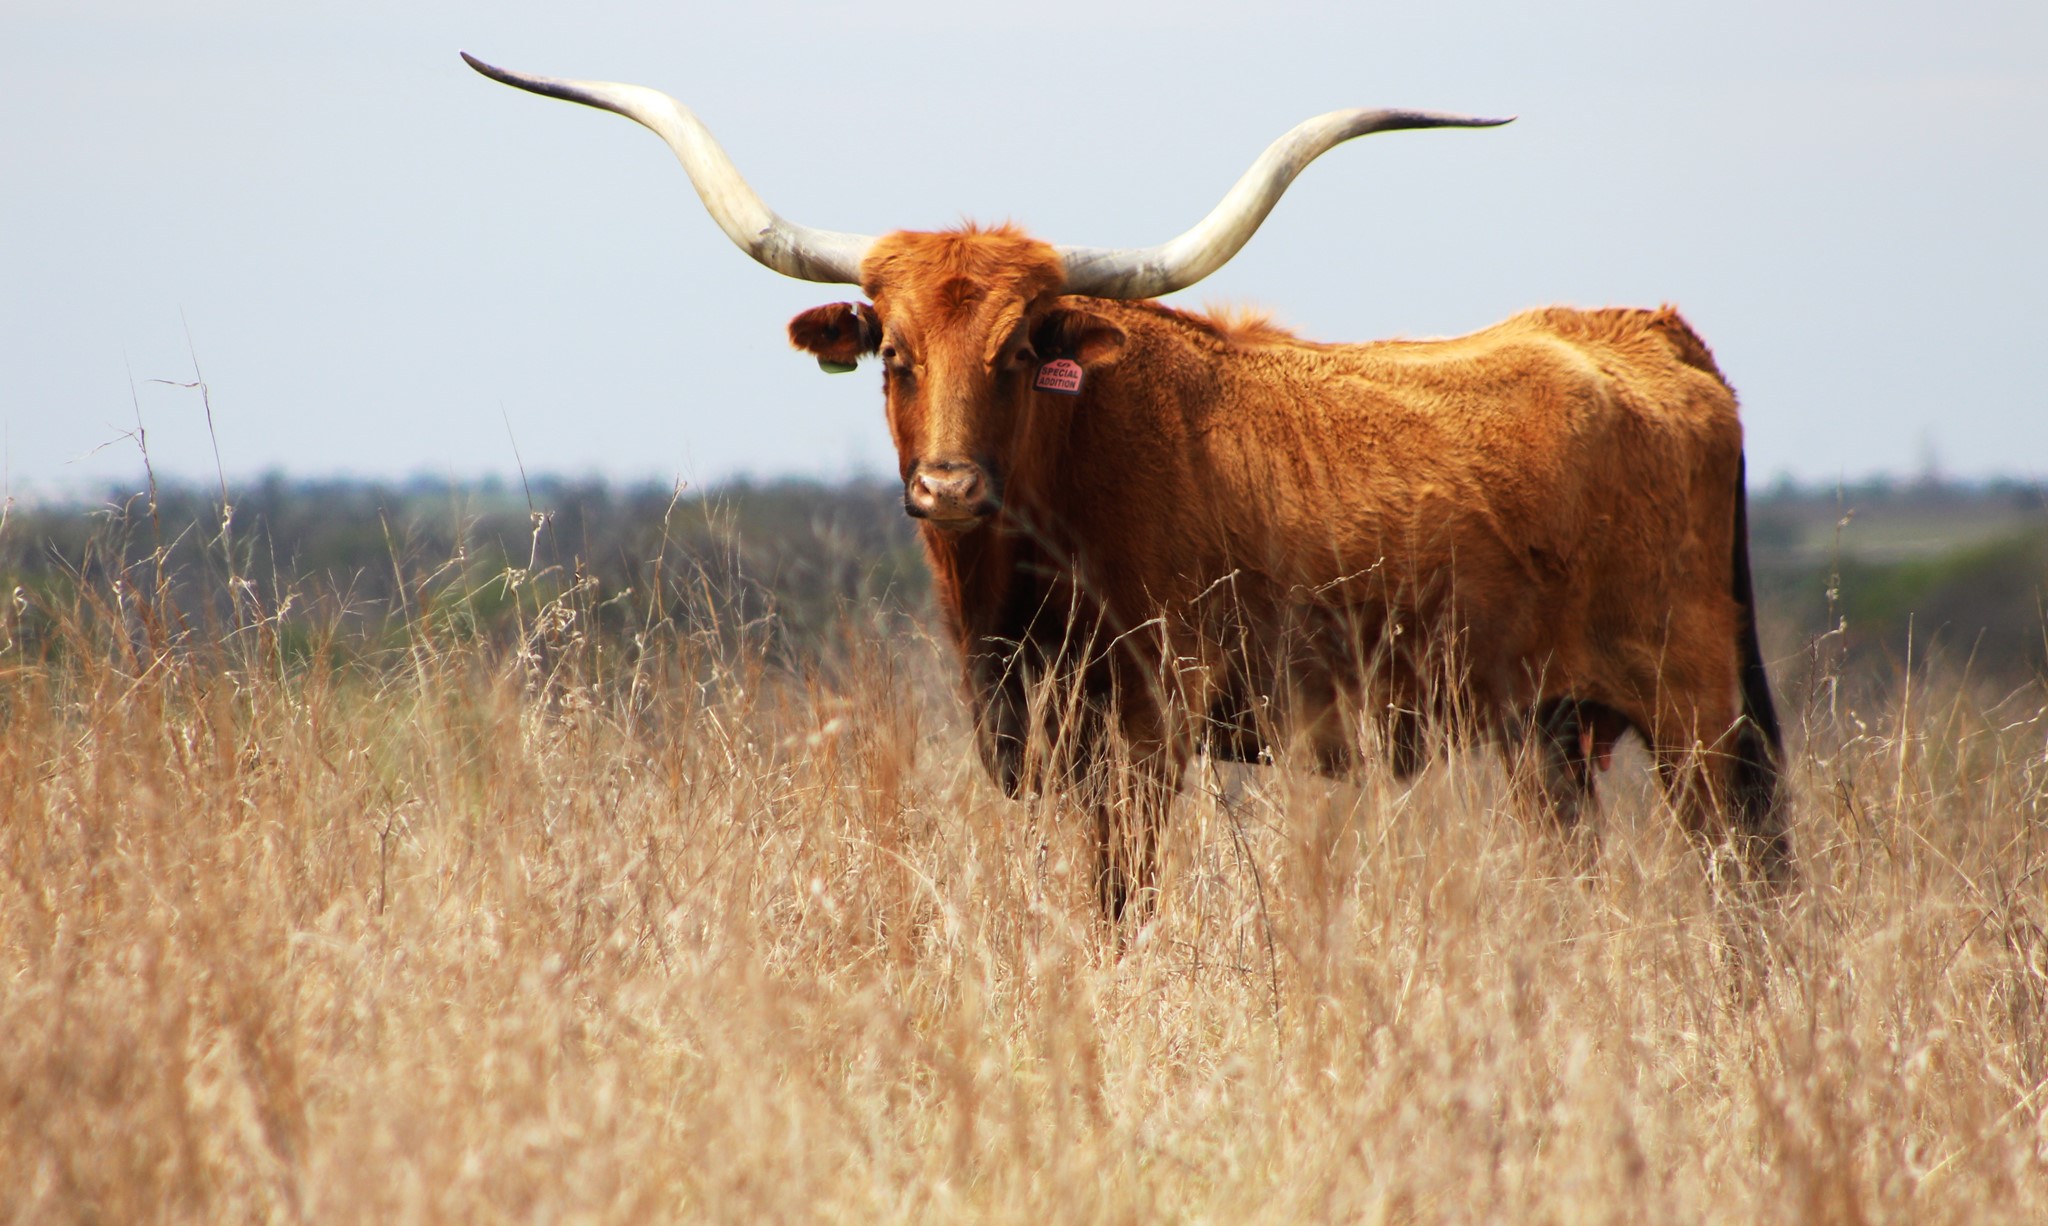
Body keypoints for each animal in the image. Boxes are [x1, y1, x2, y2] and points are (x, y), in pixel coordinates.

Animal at [464, 54, 1790, 919]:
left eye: (1018, 350)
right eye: (892, 354)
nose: (947, 483)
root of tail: (1645, 331)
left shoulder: (1149, 725)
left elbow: (1119, 898)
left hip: (1695, 715)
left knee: (1740, 885)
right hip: (1549, 734)